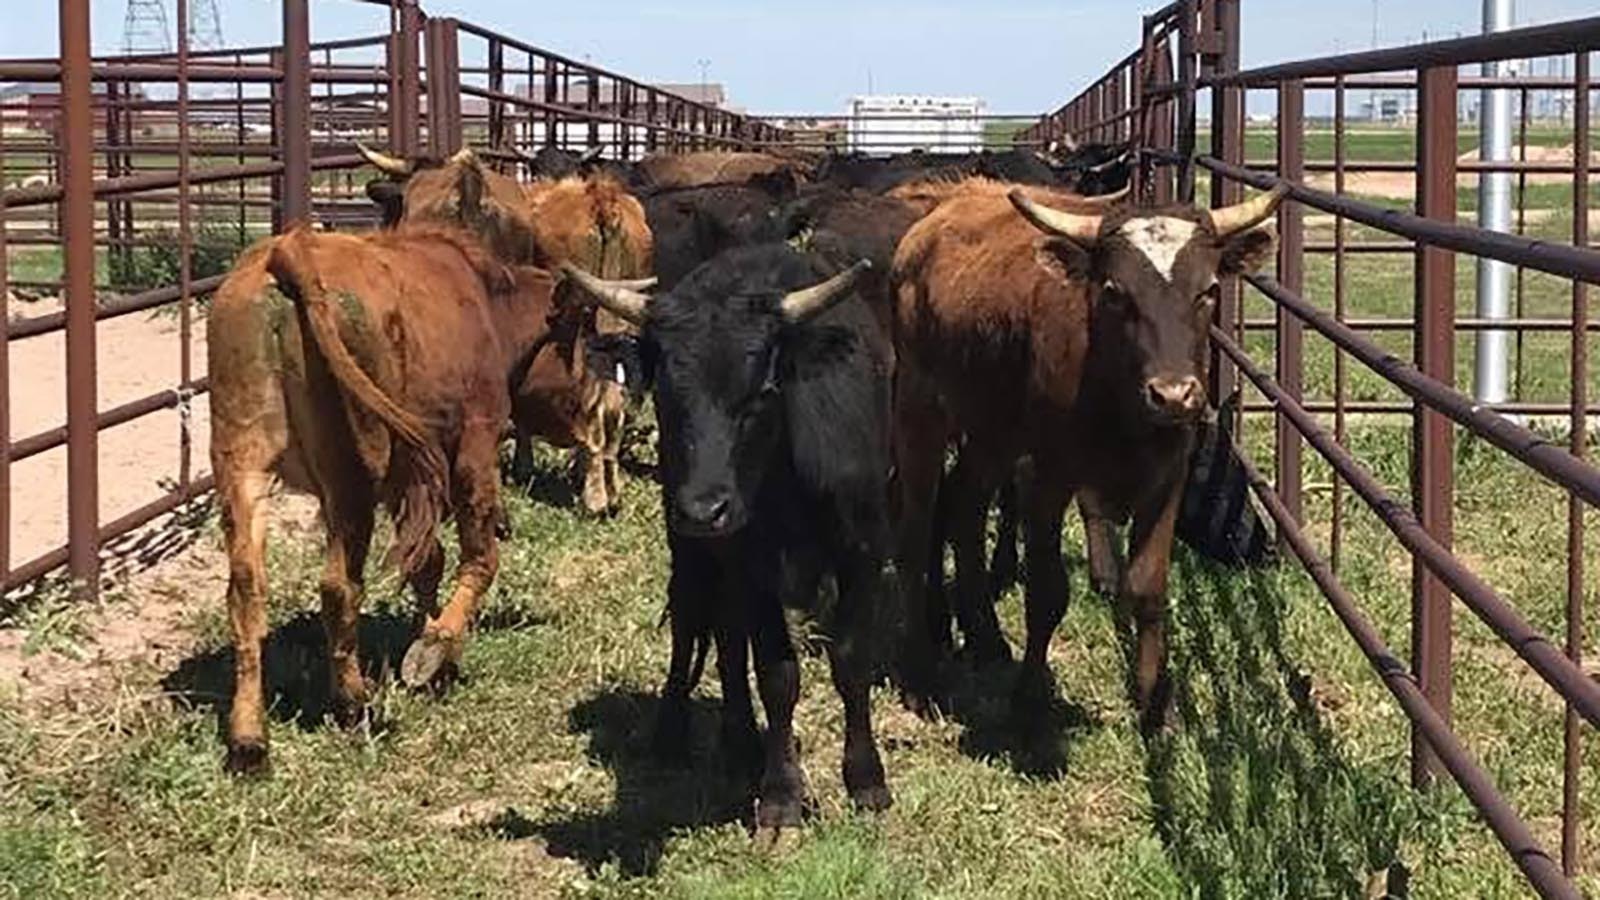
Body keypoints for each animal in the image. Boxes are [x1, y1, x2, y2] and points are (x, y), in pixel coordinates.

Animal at [208, 224, 582, 771]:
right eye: (576, 339)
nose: (578, 422)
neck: (487, 302)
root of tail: (289, 249)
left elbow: (428, 561)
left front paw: (428, 634)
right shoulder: (473, 444)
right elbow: (478, 558)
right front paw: (436, 647)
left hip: (241, 465)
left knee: (247, 590)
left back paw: (248, 736)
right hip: (350, 477)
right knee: (338, 587)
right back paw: (353, 702)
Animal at [563, 241, 896, 826]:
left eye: (762, 391)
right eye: (665, 393)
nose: (704, 510)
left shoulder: (864, 554)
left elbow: (851, 660)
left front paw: (866, 780)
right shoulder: (751, 563)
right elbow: (777, 674)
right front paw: (782, 795)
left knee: (725, 630)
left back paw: (739, 746)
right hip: (692, 549)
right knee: (698, 620)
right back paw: (686, 737)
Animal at [889, 176, 1286, 730]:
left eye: (1208, 290)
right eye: (1115, 291)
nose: (1173, 394)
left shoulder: (1166, 478)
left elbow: (1147, 588)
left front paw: (1155, 705)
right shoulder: (1045, 478)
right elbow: (1046, 592)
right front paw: (1030, 701)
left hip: (993, 432)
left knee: (963, 507)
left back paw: (986, 638)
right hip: (920, 409)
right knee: (917, 525)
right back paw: (920, 673)